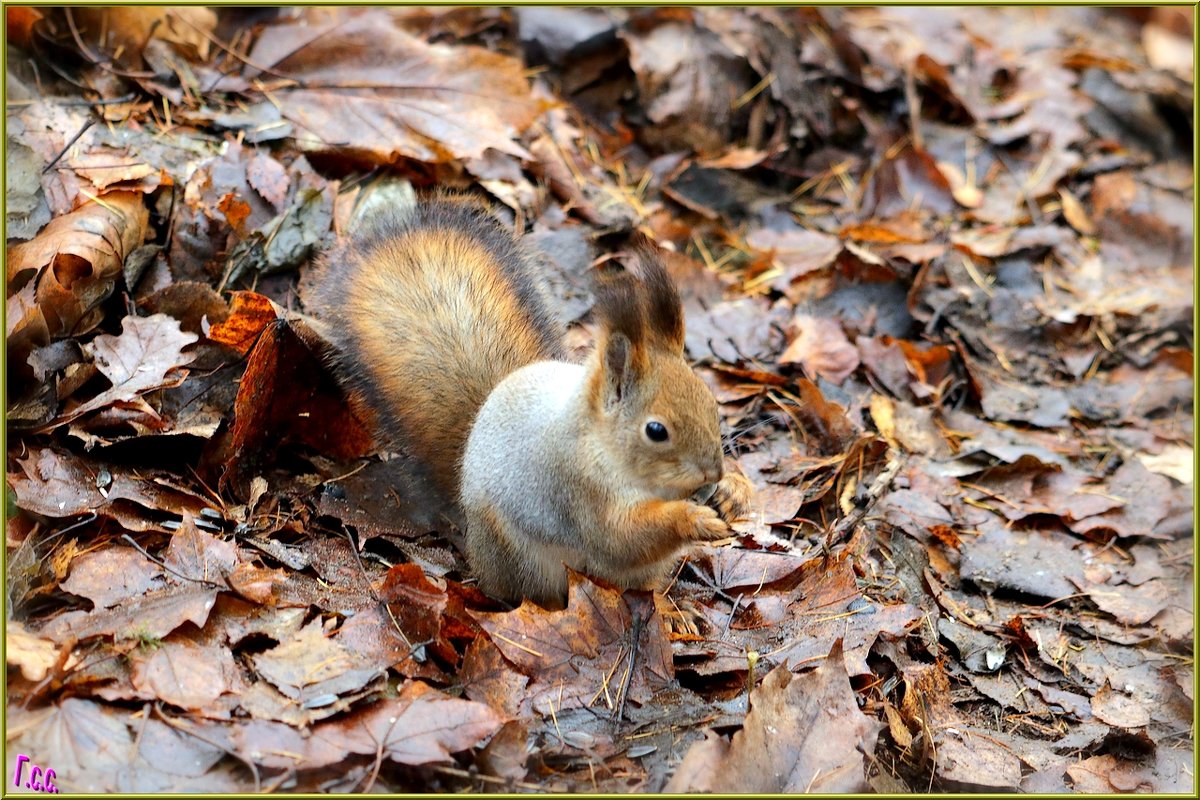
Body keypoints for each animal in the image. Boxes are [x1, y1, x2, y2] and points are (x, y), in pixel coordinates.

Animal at [314, 196, 753, 609]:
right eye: (656, 431)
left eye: (711, 403)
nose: (713, 471)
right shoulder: (576, 489)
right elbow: (620, 537)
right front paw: (694, 519)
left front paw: (731, 492)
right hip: (520, 557)